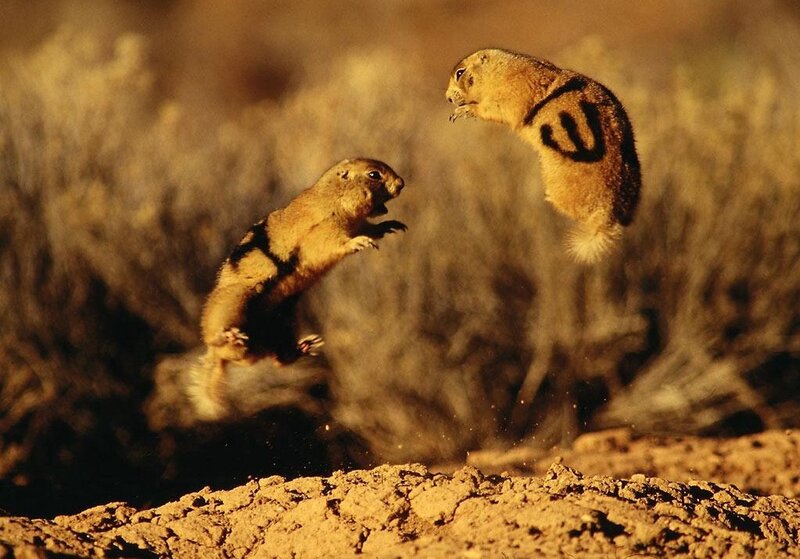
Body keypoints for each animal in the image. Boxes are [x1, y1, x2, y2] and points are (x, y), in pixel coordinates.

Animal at [194, 158, 406, 419]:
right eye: (374, 174)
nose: (402, 183)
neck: (331, 195)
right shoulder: (327, 228)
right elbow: (335, 242)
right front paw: (360, 243)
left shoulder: (357, 223)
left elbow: (370, 227)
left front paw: (391, 226)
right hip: (233, 301)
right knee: (215, 339)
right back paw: (229, 335)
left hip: (284, 322)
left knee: (277, 359)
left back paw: (306, 345)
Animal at [446, 48, 641, 263]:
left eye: (460, 73)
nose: (448, 98)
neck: (501, 70)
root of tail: (607, 218)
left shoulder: (511, 91)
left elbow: (495, 108)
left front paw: (463, 111)